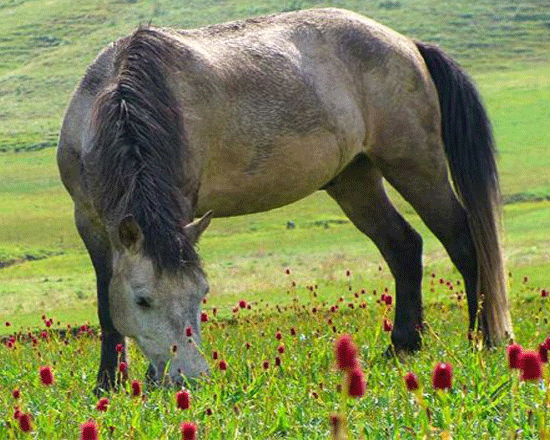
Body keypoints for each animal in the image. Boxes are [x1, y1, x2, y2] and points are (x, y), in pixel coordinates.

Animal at [58, 6, 516, 392]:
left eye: (202, 294)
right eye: (142, 299)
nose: (191, 380)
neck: (122, 99)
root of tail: (407, 44)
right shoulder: (88, 222)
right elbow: (106, 305)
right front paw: (109, 384)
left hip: (415, 165)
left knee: (462, 240)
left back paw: (482, 339)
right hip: (355, 179)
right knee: (403, 246)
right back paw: (402, 346)